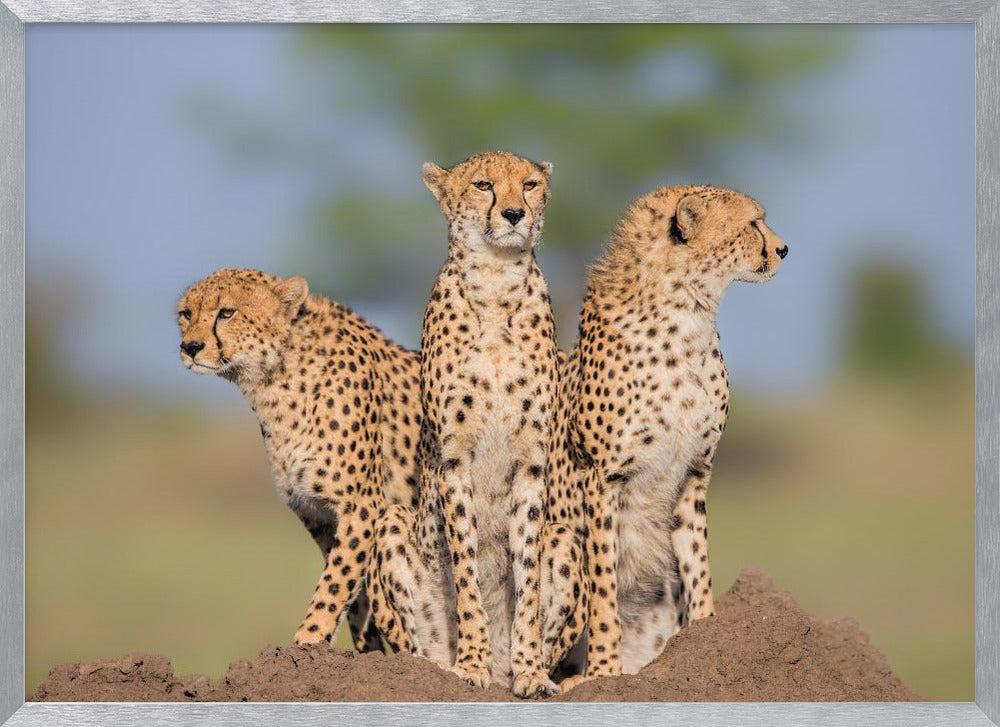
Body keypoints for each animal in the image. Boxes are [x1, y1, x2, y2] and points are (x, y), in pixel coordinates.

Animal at [176, 267, 428, 655]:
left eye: (227, 313)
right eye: (186, 314)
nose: (190, 347)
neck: (274, 379)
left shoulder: (361, 507)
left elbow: (335, 585)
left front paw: (306, 643)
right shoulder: (319, 516)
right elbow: (353, 597)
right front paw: (360, 652)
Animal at [549, 184, 789, 690]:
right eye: (753, 223)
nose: (783, 249)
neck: (688, 313)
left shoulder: (694, 473)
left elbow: (698, 564)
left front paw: (705, 636)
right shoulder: (602, 480)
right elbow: (603, 587)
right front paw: (605, 672)